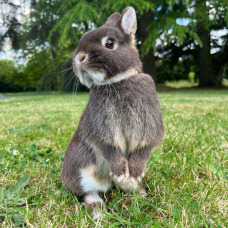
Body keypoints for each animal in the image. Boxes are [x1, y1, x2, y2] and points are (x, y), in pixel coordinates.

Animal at [60, 6, 164, 219]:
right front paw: (121, 172)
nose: (79, 57)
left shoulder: (148, 128)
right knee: (88, 193)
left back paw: (136, 190)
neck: (118, 82)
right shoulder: (104, 130)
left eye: (109, 43)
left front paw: (134, 173)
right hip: (82, 170)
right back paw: (98, 211)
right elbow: (111, 148)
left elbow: (142, 150)